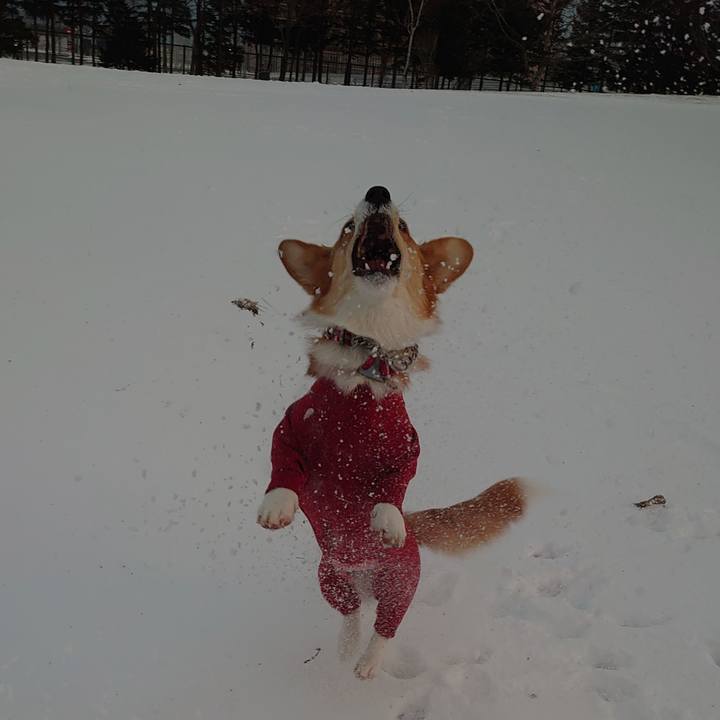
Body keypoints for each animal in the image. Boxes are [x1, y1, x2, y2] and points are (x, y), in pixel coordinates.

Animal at [257, 186, 529, 679]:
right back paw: (347, 648)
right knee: (351, 614)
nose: (378, 192)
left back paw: (367, 663)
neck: (370, 356)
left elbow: (393, 485)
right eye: (348, 227)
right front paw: (277, 507)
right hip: (331, 579)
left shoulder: (406, 448)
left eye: (405, 227)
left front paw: (386, 520)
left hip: (401, 584)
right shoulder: (290, 426)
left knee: (385, 627)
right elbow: (282, 465)